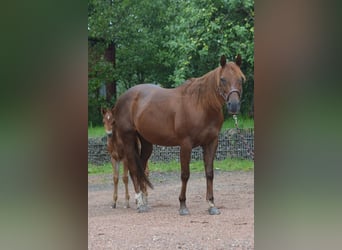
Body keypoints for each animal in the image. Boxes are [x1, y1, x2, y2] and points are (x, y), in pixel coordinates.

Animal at [111, 55, 243, 215]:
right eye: (223, 79)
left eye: (241, 79)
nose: (234, 106)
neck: (200, 105)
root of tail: (122, 99)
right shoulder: (186, 144)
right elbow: (185, 175)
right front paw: (183, 205)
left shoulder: (211, 142)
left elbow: (209, 173)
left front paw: (211, 205)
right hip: (128, 139)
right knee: (134, 169)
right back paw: (140, 203)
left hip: (146, 143)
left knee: (140, 168)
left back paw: (143, 201)